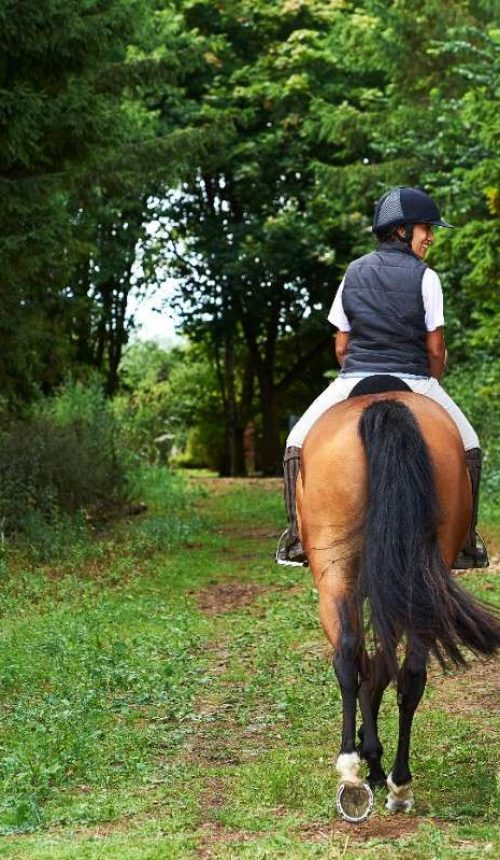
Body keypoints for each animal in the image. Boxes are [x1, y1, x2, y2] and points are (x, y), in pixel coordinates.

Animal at [297, 389, 500, 814]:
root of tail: (384, 405)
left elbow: (367, 670)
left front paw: (369, 756)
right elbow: (381, 670)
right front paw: (376, 760)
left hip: (335, 573)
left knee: (348, 657)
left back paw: (352, 771)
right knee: (411, 672)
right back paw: (399, 783)